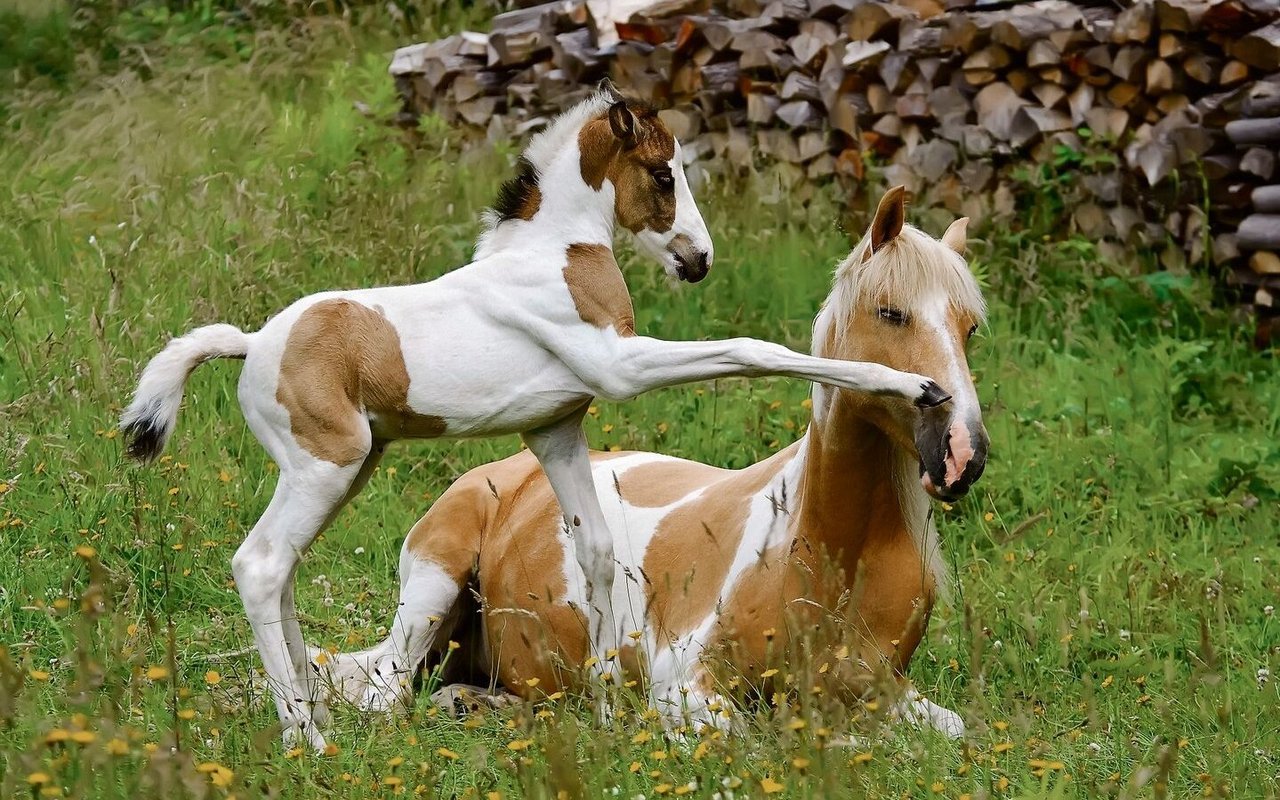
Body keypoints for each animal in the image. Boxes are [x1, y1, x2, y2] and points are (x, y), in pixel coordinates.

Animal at [330, 184, 988, 732]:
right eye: (890, 313)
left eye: (970, 329)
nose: (965, 454)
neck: (830, 553)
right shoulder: (684, 688)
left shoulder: (889, 689)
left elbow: (957, 732)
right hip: (431, 587)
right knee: (385, 692)